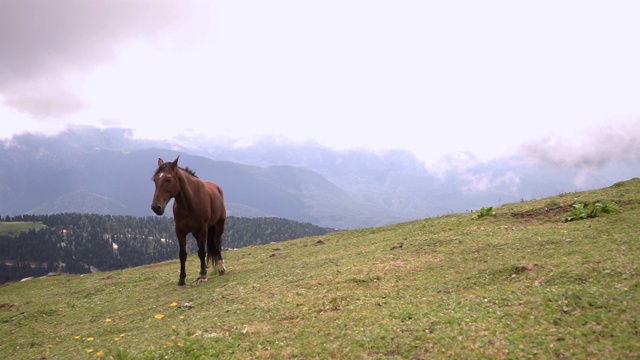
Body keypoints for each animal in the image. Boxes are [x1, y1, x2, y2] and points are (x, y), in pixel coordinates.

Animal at [151, 156, 228, 286]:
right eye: (154, 180)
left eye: (168, 179)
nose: (156, 207)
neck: (190, 202)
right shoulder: (180, 231)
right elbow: (183, 254)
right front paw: (182, 279)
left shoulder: (203, 228)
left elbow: (201, 251)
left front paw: (203, 277)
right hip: (196, 233)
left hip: (219, 224)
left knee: (216, 242)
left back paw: (221, 268)